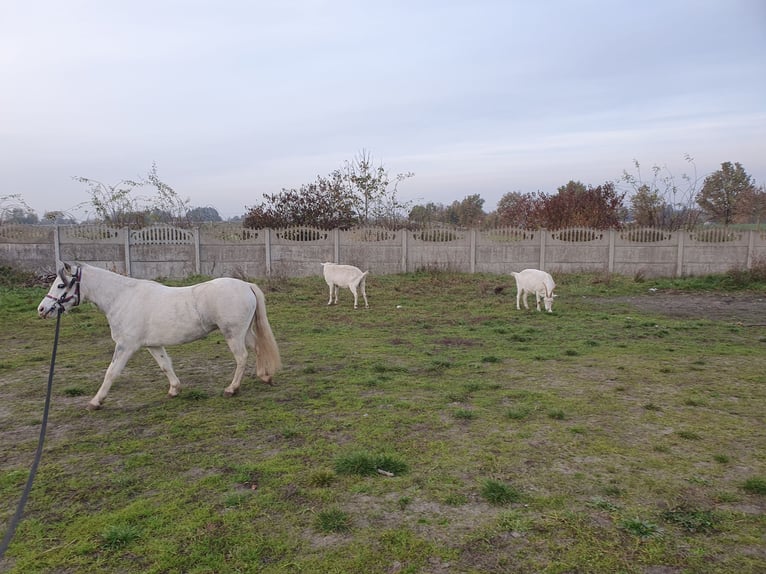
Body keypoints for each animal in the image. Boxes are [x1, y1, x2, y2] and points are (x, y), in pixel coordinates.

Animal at [38, 264, 282, 412]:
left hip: (233, 334)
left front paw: (95, 402)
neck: (122, 298)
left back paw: (232, 389)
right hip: (243, 332)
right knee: (257, 349)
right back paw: (265, 377)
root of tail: (246, 285)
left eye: (61, 284)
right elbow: (165, 365)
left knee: (241, 358)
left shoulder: (126, 346)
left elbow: (111, 372)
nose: (42, 309)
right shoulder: (153, 345)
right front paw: (174, 389)